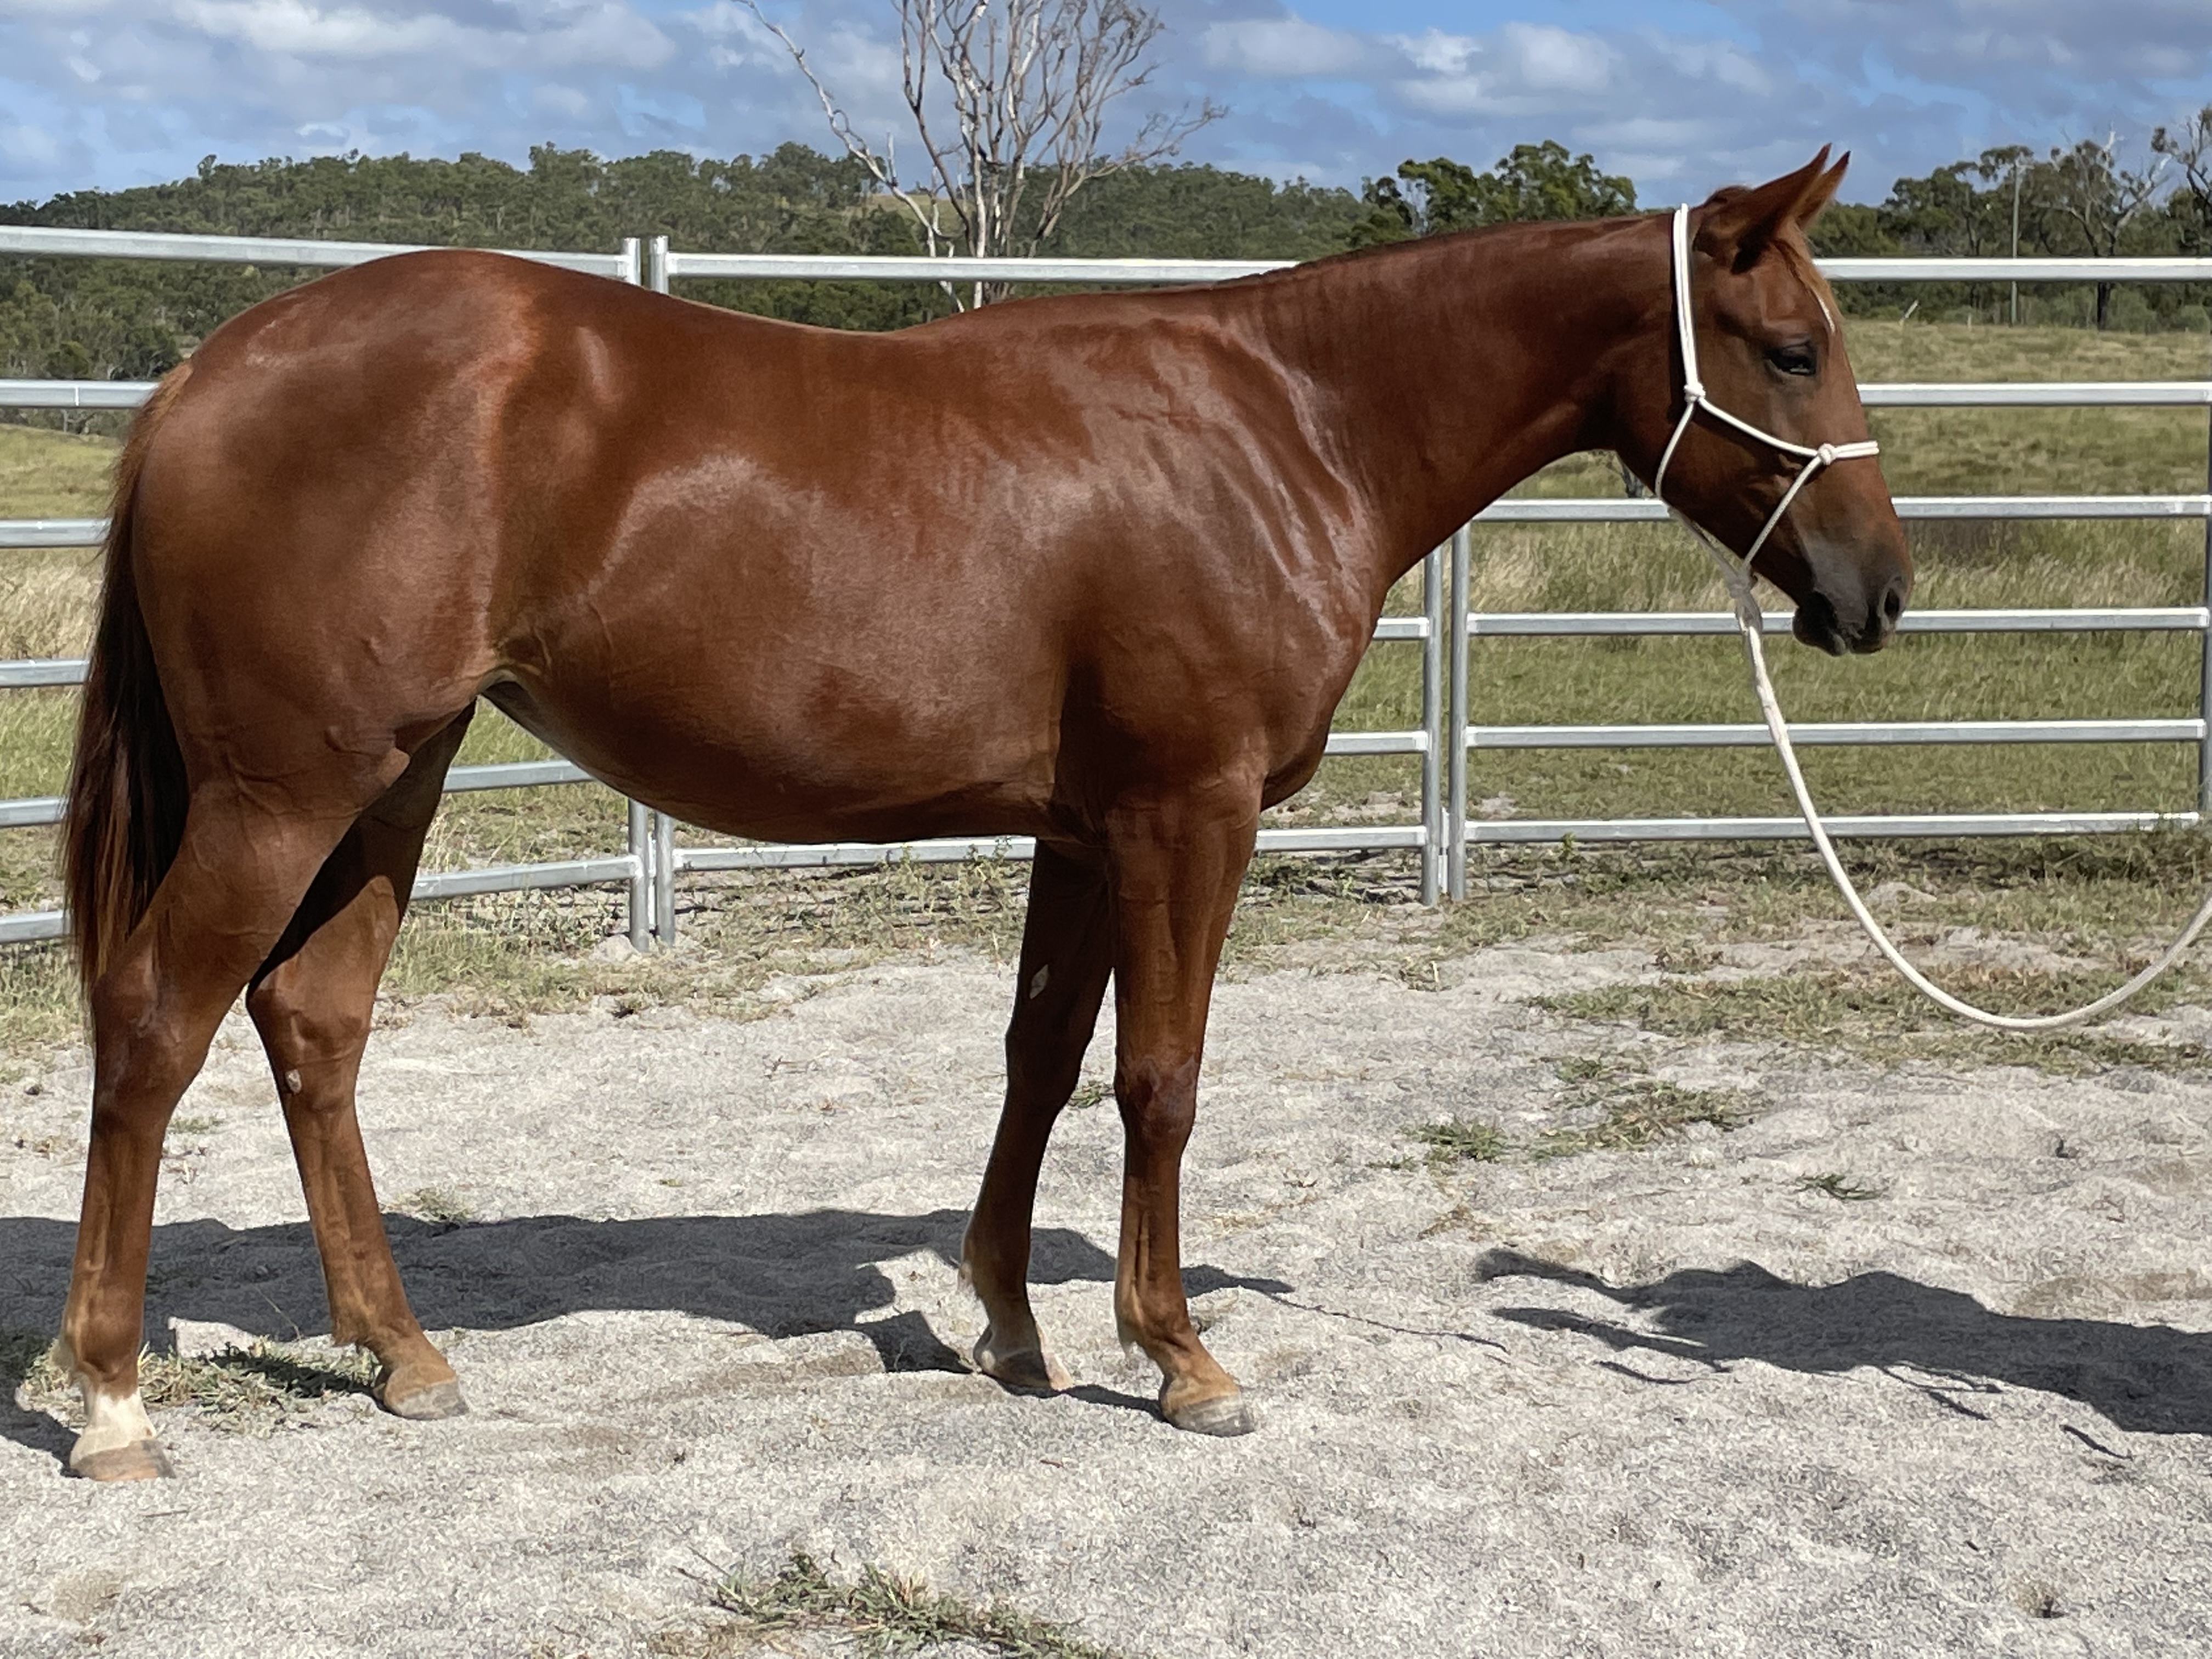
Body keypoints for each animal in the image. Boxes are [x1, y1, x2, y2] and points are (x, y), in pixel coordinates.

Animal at [48, 148, 1909, 1480]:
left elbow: (1041, 1059)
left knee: (312, 1024)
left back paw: (402, 1354)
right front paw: (1183, 1359)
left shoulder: (1083, 830)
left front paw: (1014, 1329)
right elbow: (1161, 1080)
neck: (1281, 428)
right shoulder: (1186, 815)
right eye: (1790, 349)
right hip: (285, 795)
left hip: (397, 777)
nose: (1877, 592)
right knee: (154, 1028)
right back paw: (117, 1403)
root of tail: (208, 369)